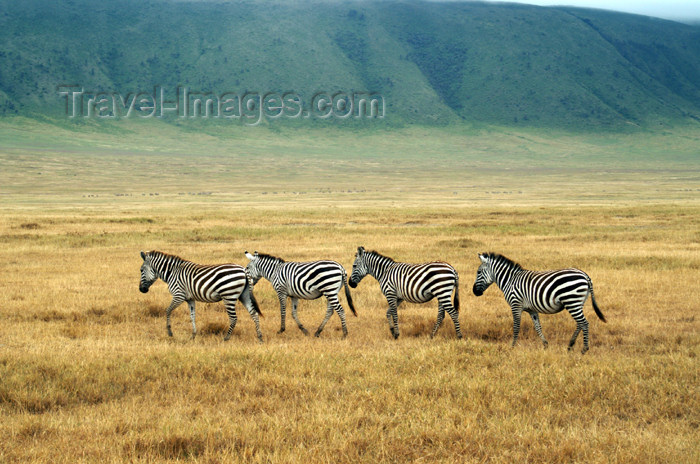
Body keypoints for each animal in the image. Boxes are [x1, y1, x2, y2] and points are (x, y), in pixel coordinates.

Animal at [470, 252, 608, 354]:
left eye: (478, 272)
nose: (474, 292)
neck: (509, 280)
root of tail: (585, 275)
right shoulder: (532, 310)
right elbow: (537, 326)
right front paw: (545, 345)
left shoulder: (515, 305)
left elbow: (516, 327)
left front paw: (512, 346)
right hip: (577, 302)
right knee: (580, 323)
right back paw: (570, 345)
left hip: (572, 300)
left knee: (584, 323)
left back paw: (584, 349)